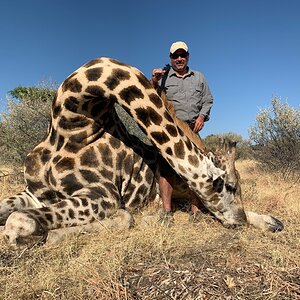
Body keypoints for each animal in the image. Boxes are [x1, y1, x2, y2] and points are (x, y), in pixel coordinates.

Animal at [0, 57, 282, 247]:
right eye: (229, 185)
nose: (240, 222)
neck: (70, 125)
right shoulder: (35, 193)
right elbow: (12, 212)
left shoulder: (103, 195)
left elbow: (19, 220)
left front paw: (49, 235)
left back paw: (272, 222)